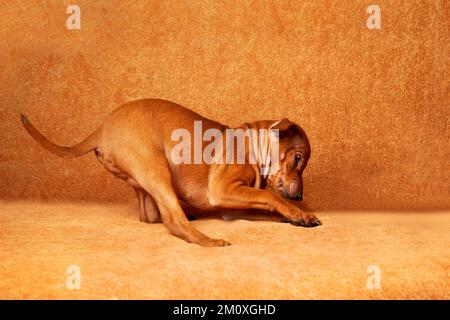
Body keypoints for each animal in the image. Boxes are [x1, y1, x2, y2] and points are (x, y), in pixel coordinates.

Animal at [21, 99, 320, 246]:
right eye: (297, 158)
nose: (299, 197)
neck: (250, 144)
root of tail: (101, 129)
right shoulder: (223, 189)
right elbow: (271, 197)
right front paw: (297, 212)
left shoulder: (234, 204)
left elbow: (268, 206)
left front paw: (297, 216)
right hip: (156, 168)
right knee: (174, 220)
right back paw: (207, 241)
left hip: (143, 182)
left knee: (151, 216)